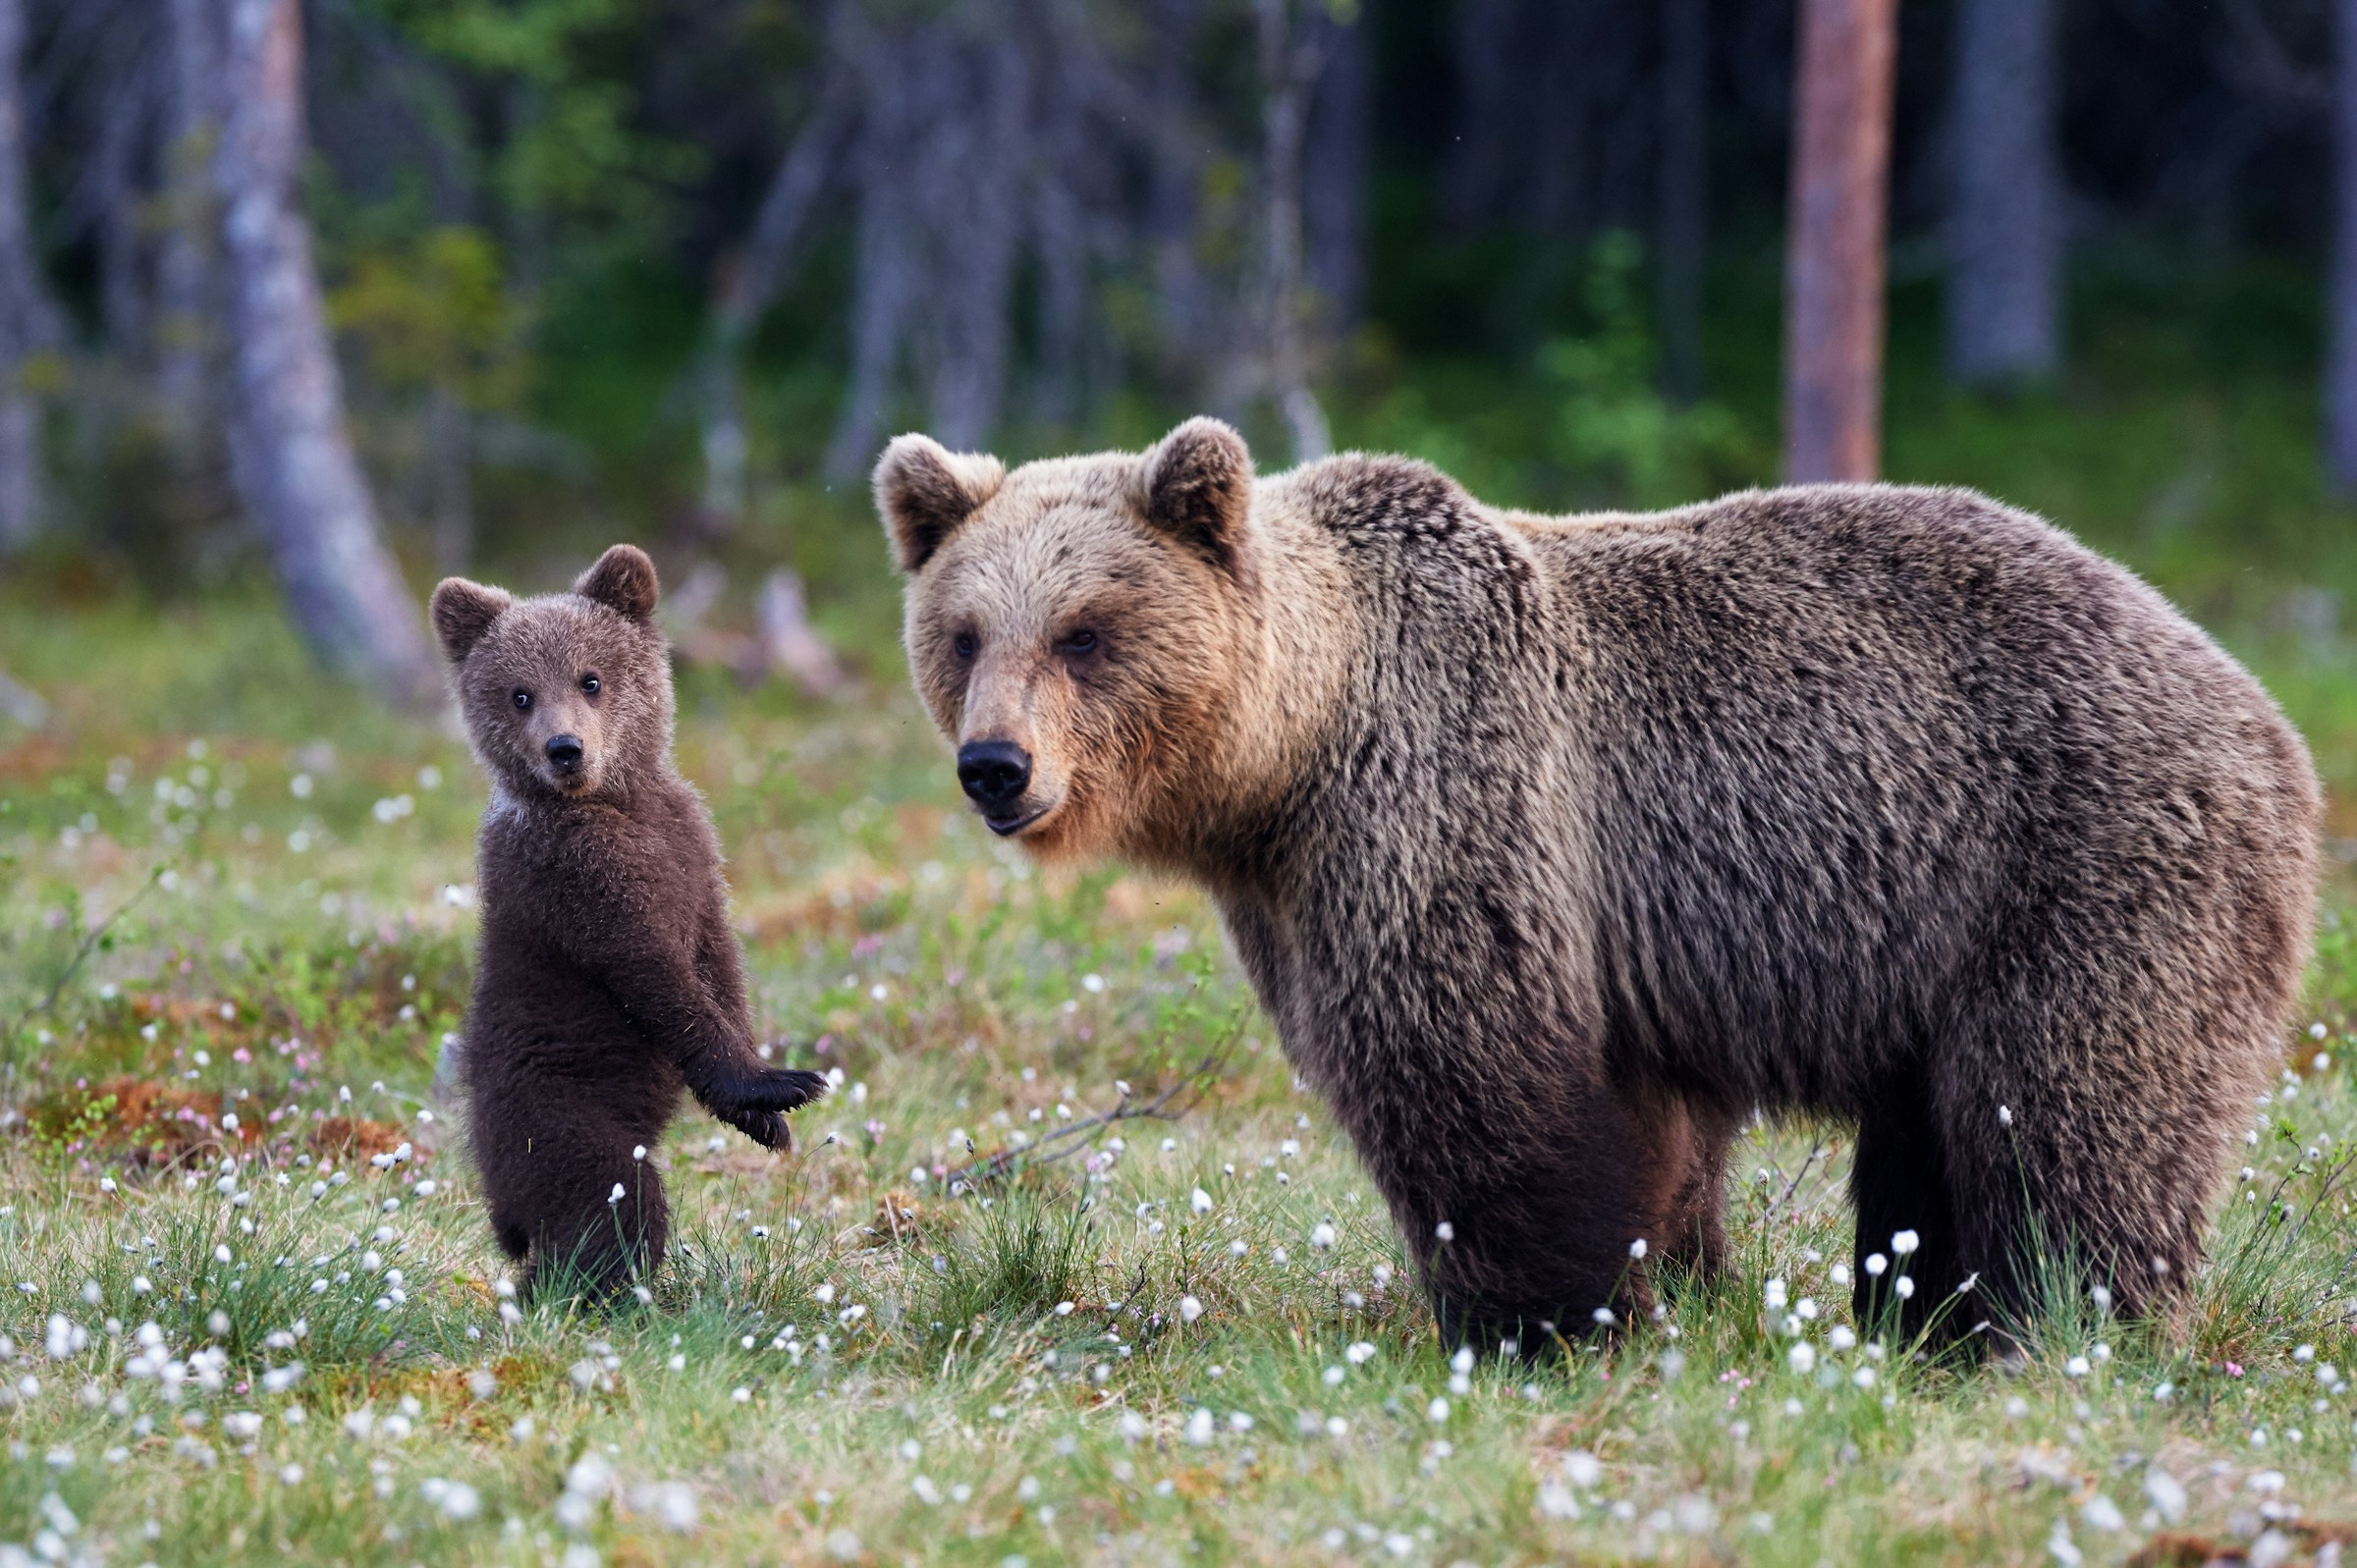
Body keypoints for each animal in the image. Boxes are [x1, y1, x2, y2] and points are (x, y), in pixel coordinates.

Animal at [430, 544, 827, 1298]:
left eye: (591, 679)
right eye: (519, 693)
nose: (564, 748)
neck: (612, 804)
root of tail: (496, 1199)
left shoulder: (691, 849)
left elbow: (717, 958)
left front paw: (765, 1118)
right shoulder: (577, 881)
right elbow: (656, 974)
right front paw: (780, 1084)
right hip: (557, 1113)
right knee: (612, 1204)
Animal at [874, 418, 2321, 1351]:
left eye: (1085, 633)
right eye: (965, 633)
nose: (995, 767)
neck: (1286, 762)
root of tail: (2265, 714)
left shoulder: (1447, 810)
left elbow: (1479, 1077)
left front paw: (1540, 1321)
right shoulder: (1304, 889)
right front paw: (1673, 1285)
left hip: (2080, 870)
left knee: (2065, 1115)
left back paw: (2061, 1325)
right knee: (1936, 1143)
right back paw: (1930, 1323)